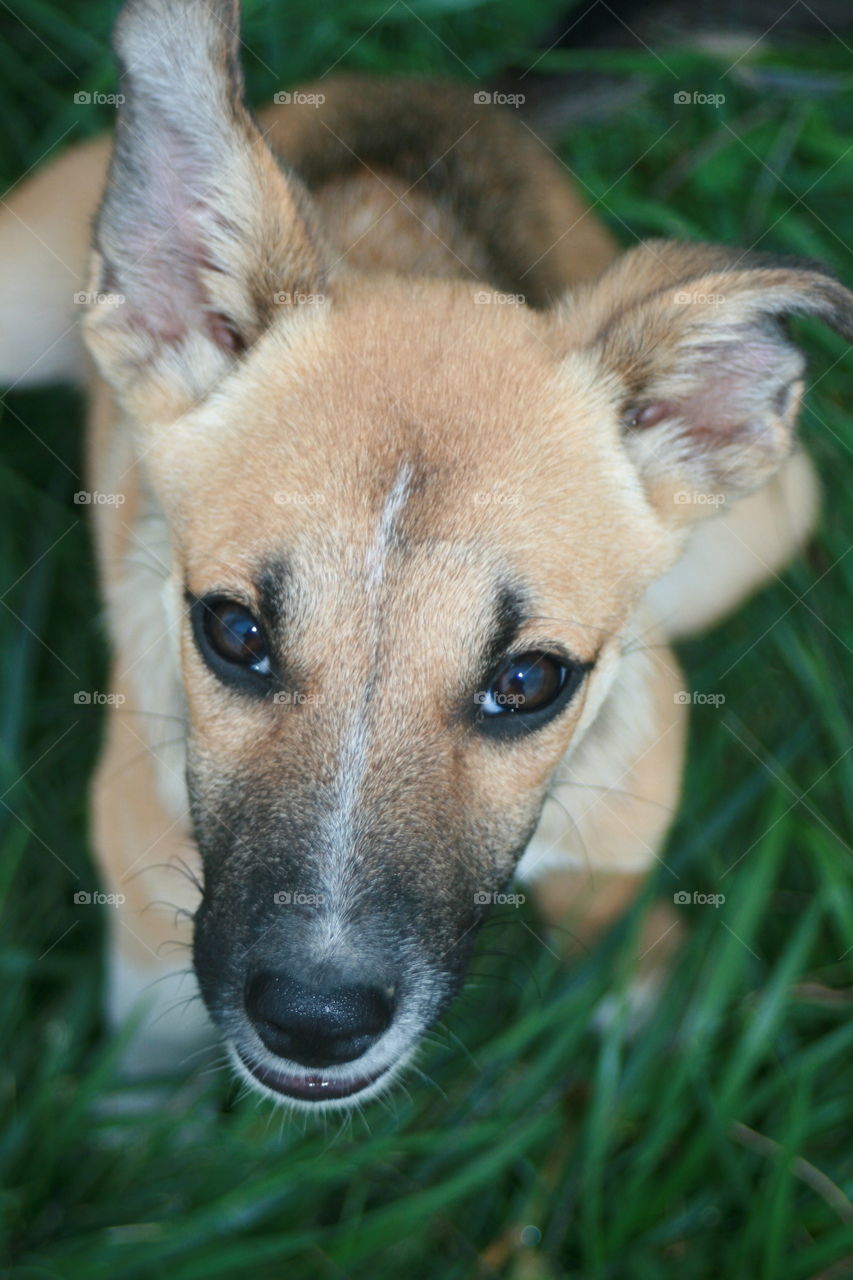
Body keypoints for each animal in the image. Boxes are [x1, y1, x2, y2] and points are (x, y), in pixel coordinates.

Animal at [3, 0, 845, 1111]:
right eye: (233, 632)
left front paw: (639, 994)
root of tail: (464, 95)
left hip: (763, 526)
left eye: (529, 680)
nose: (314, 1021)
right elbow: (144, 1059)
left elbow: (605, 887)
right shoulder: (140, 869)